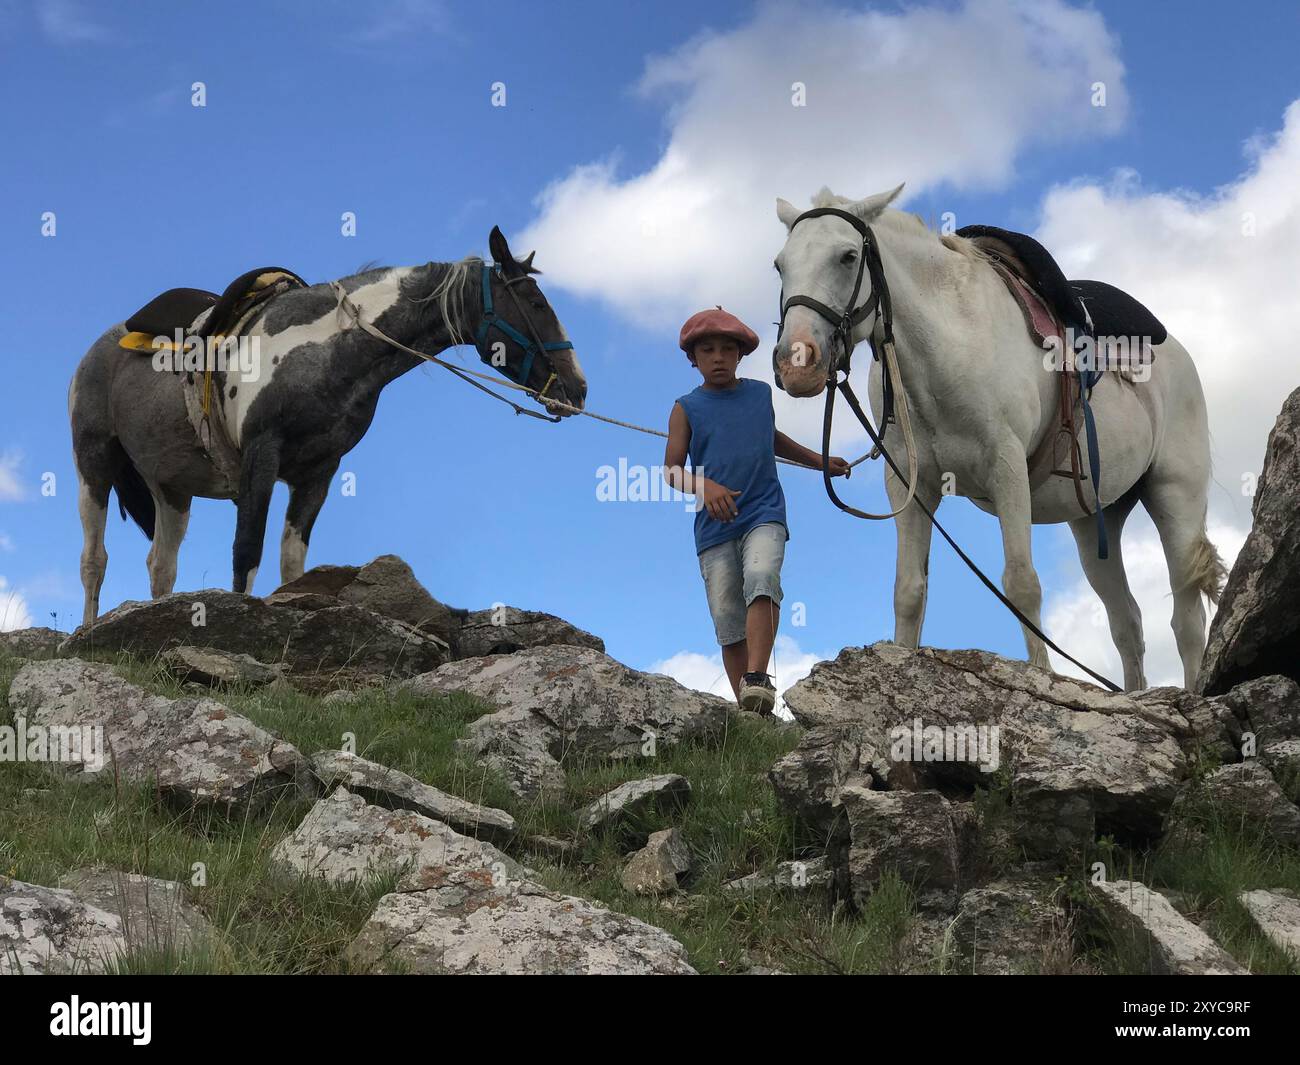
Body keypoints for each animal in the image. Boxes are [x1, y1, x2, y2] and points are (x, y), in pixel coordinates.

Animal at [65, 224, 585, 624]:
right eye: (536, 304)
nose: (578, 390)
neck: (328, 348)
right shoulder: (261, 457)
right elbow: (246, 552)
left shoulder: (319, 471)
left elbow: (293, 565)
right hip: (94, 464)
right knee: (94, 559)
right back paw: (84, 631)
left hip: (172, 488)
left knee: (161, 566)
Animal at [769, 187, 1227, 691]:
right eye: (780, 265)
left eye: (848, 256)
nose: (796, 363)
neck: (946, 347)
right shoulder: (911, 484)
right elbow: (909, 590)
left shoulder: (1006, 469)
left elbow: (1022, 584)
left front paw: (1042, 679)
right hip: (1096, 520)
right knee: (1127, 622)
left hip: (1174, 496)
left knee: (1186, 619)